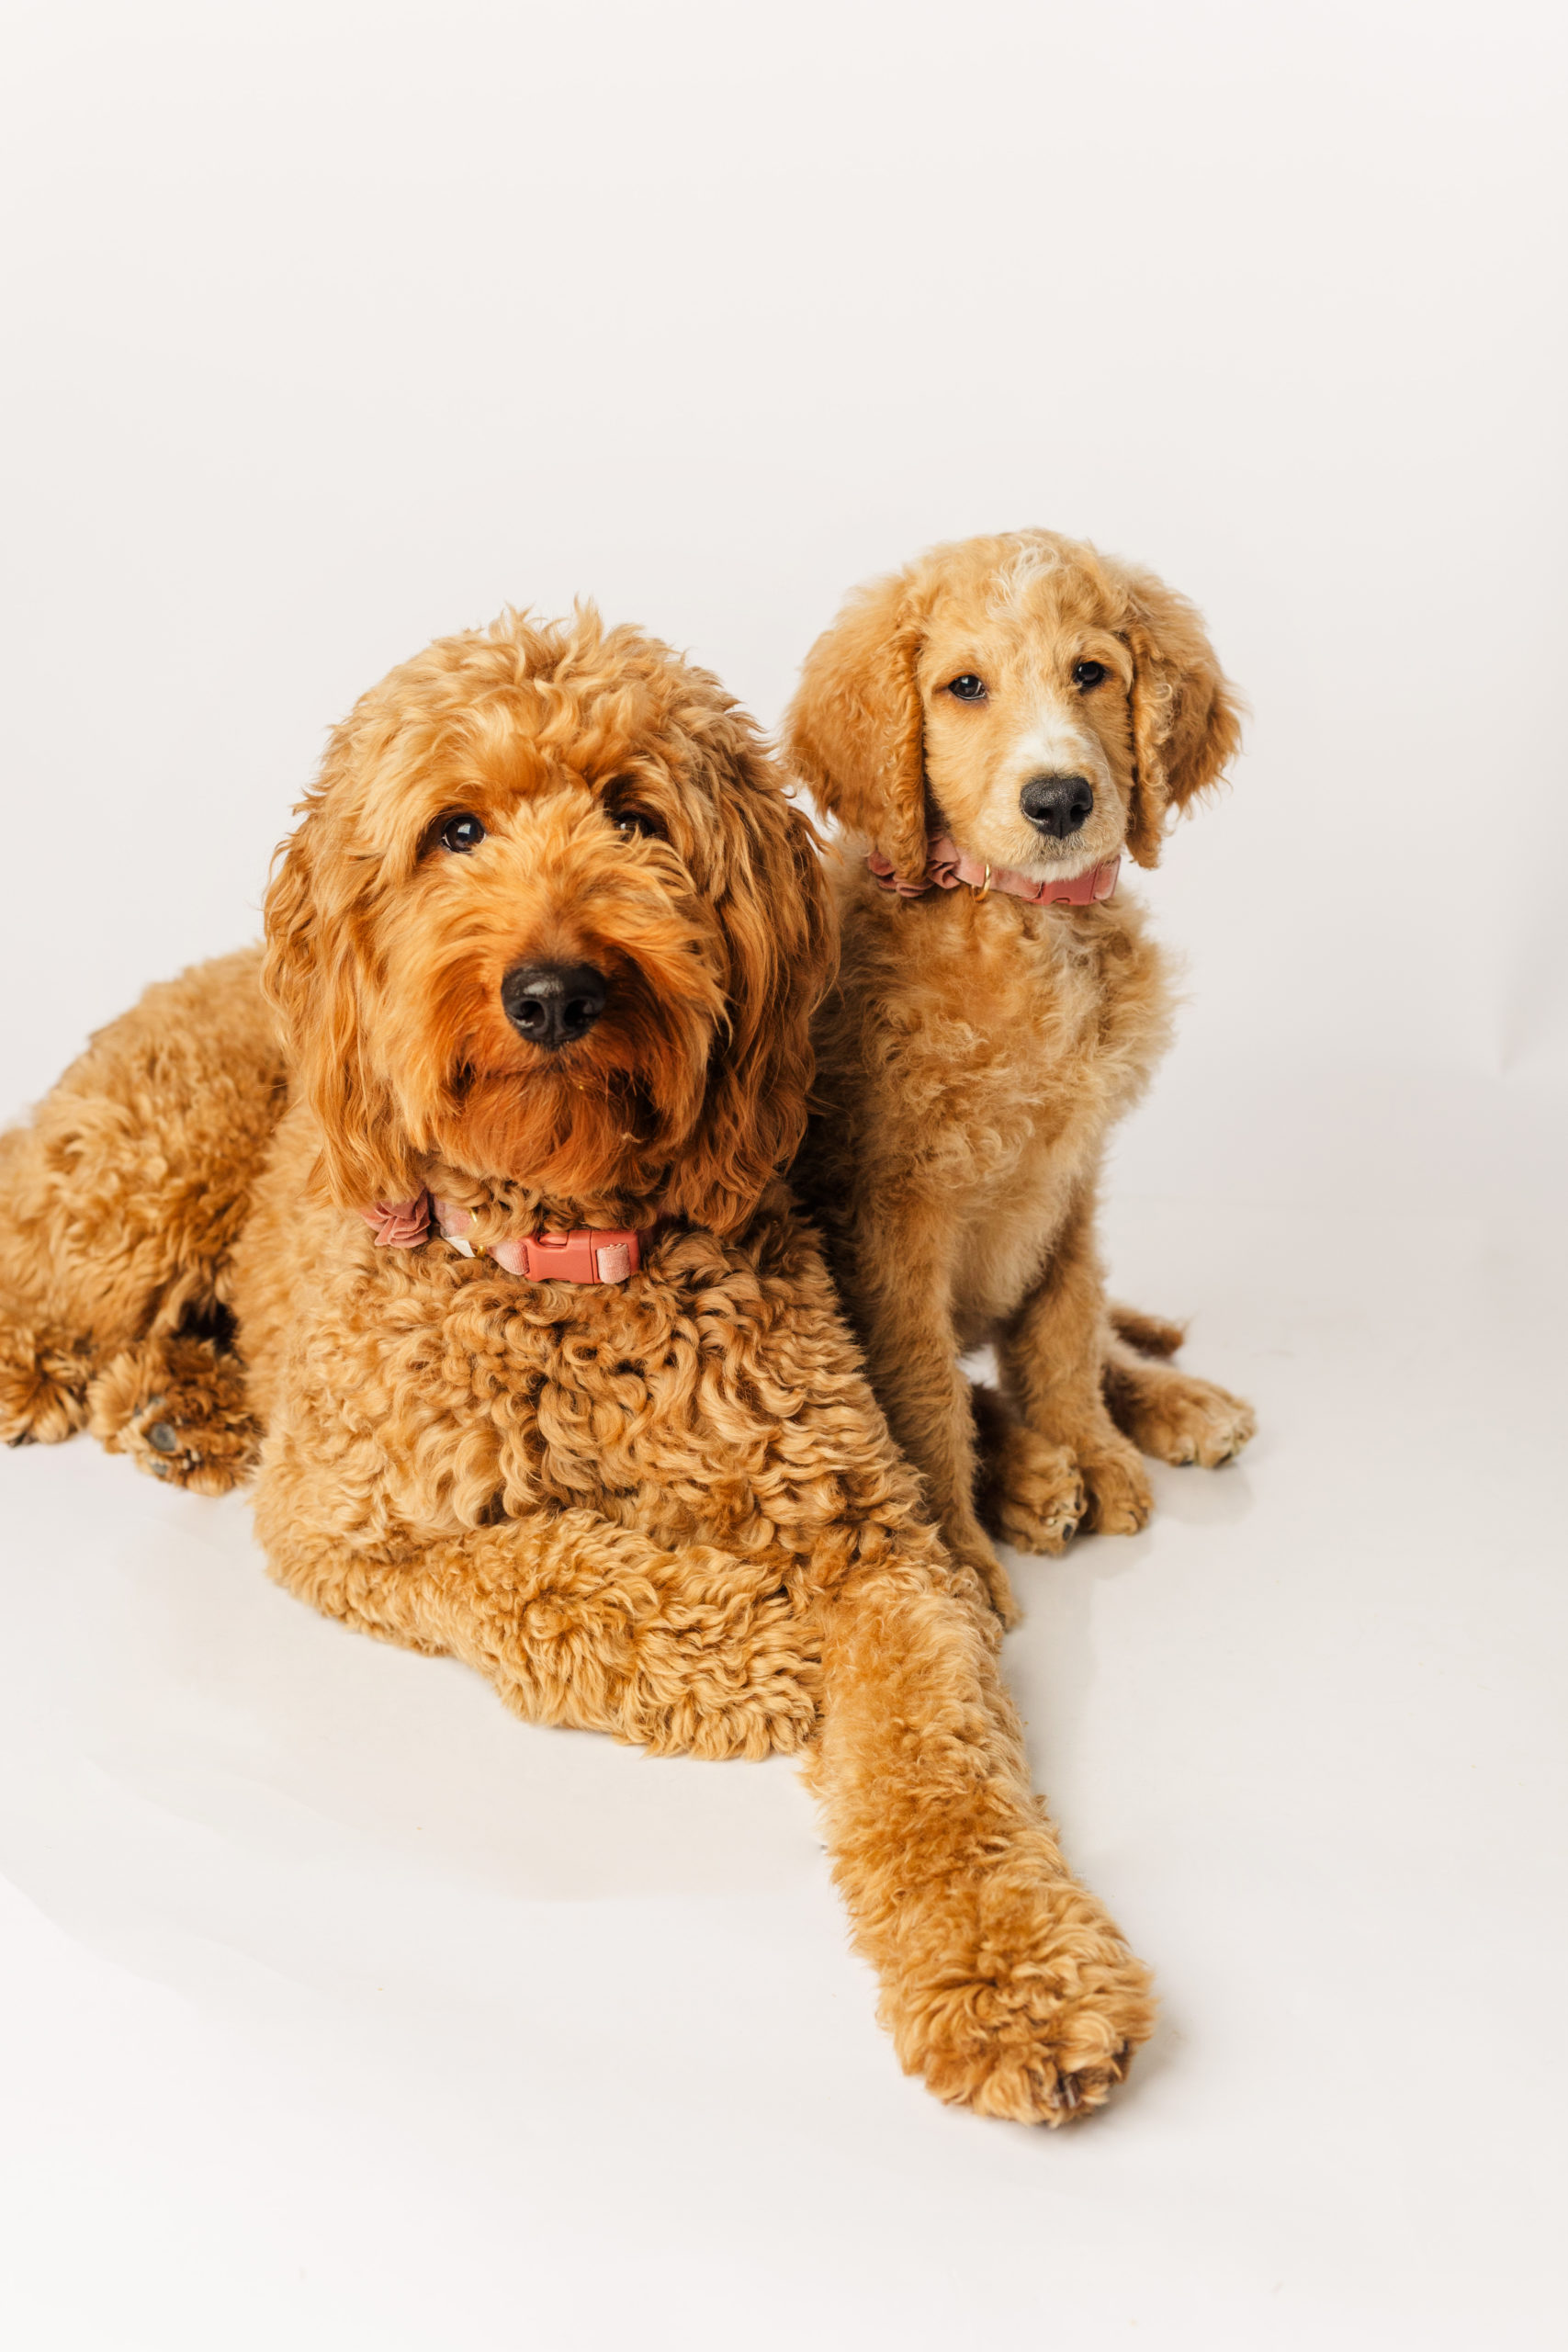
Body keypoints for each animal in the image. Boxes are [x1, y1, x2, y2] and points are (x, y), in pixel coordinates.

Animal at [0, 616, 1152, 2126]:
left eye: (635, 815)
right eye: (456, 829)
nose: (554, 990)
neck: (571, 1259)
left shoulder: (879, 1544)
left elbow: (938, 1752)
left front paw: (1017, 1974)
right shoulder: (342, 1528)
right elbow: (535, 1569)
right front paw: (749, 1641)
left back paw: (187, 1409)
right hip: (151, 1171)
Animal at [789, 531, 1259, 1618]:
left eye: (1091, 673)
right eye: (964, 686)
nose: (1059, 799)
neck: (1019, 920)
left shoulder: (1069, 1181)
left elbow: (1064, 1332)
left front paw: (1099, 1448)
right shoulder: (895, 1222)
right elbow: (922, 1391)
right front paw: (958, 1555)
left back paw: (1163, 1407)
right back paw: (1032, 1477)